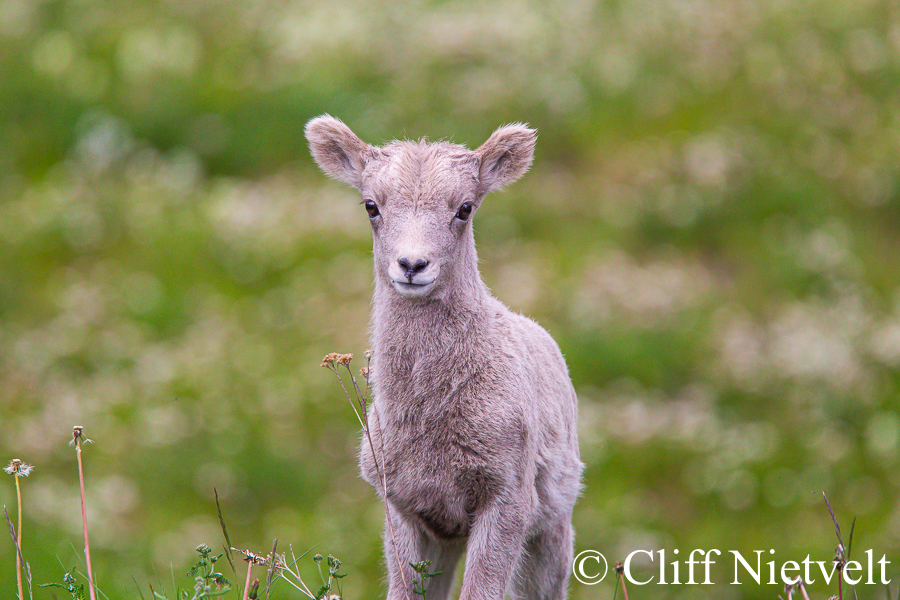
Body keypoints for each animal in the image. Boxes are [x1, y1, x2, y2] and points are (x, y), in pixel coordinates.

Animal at [305, 115, 583, 600]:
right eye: (371, 206)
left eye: (465, 208)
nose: (412, 265)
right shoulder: (405, 509)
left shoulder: (507, 501)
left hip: (549, 531)